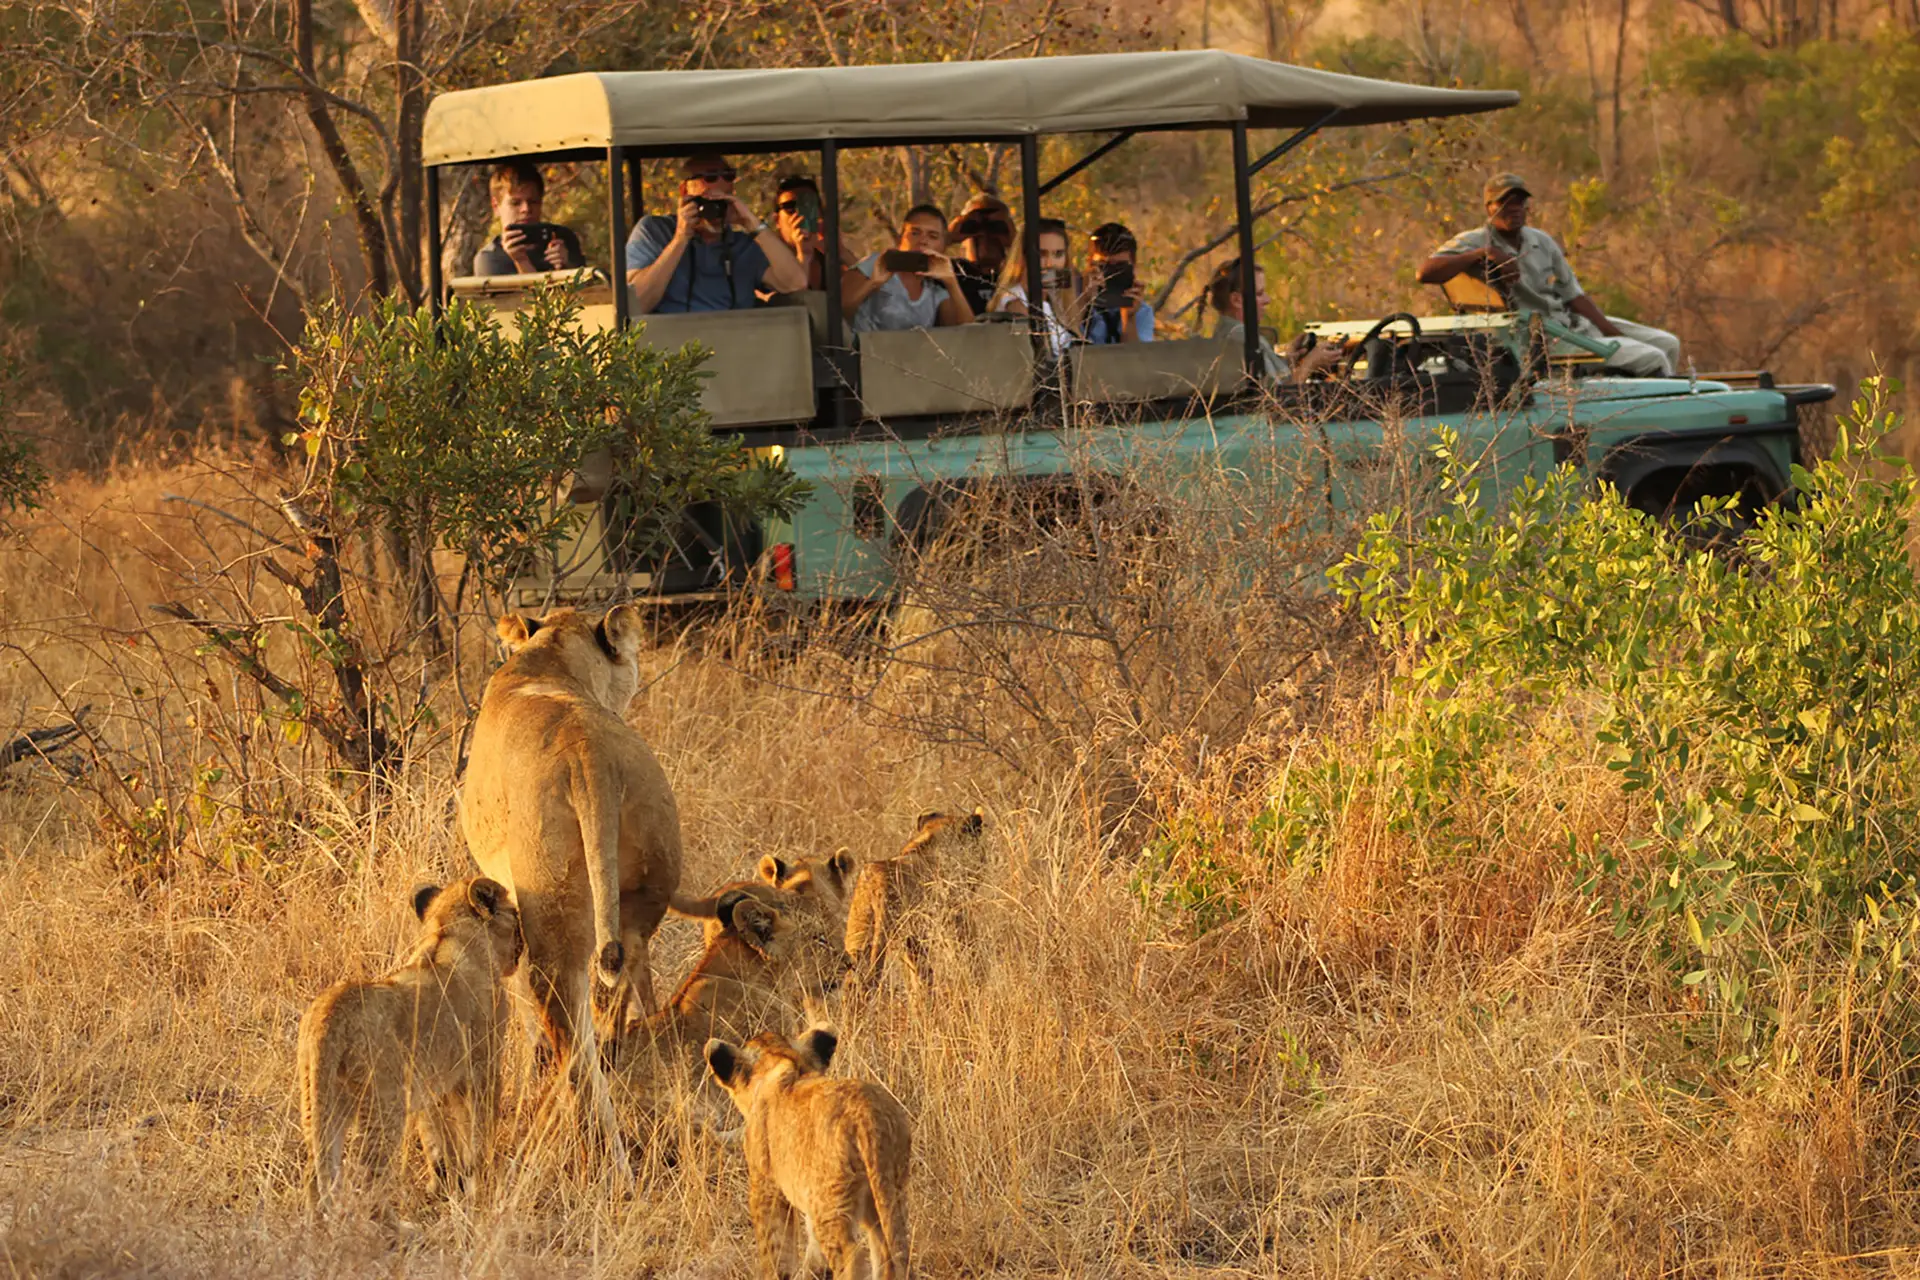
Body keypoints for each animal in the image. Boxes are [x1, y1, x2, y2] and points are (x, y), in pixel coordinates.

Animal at [297, 877, 522, 1210]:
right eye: (515, 914)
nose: (523, 946)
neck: (448, 934)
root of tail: (331, 1012)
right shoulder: (482, 1067)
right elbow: (478, 1128)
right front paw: (481, 1180)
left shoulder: (434, 1082)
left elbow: (438, 1138)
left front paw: (447, 1184)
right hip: (383, 1103)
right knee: (369, 1174)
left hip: (324, 1099)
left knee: (316, 1171)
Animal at [459, 605, 684, 1174]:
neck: (551, 654)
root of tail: (589, 756)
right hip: (643, 897)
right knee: (617, 994)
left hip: (550, 900)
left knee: (565, 1023)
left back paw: (598, 1156)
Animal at [706, 1026, 912, 1280]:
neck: (780, 1060)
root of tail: (866, 1116)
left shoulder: (765, 1186)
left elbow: (774, 1249)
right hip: (886, 1192)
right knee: (887, 1250)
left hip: (831, 1203)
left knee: (851, 1256)